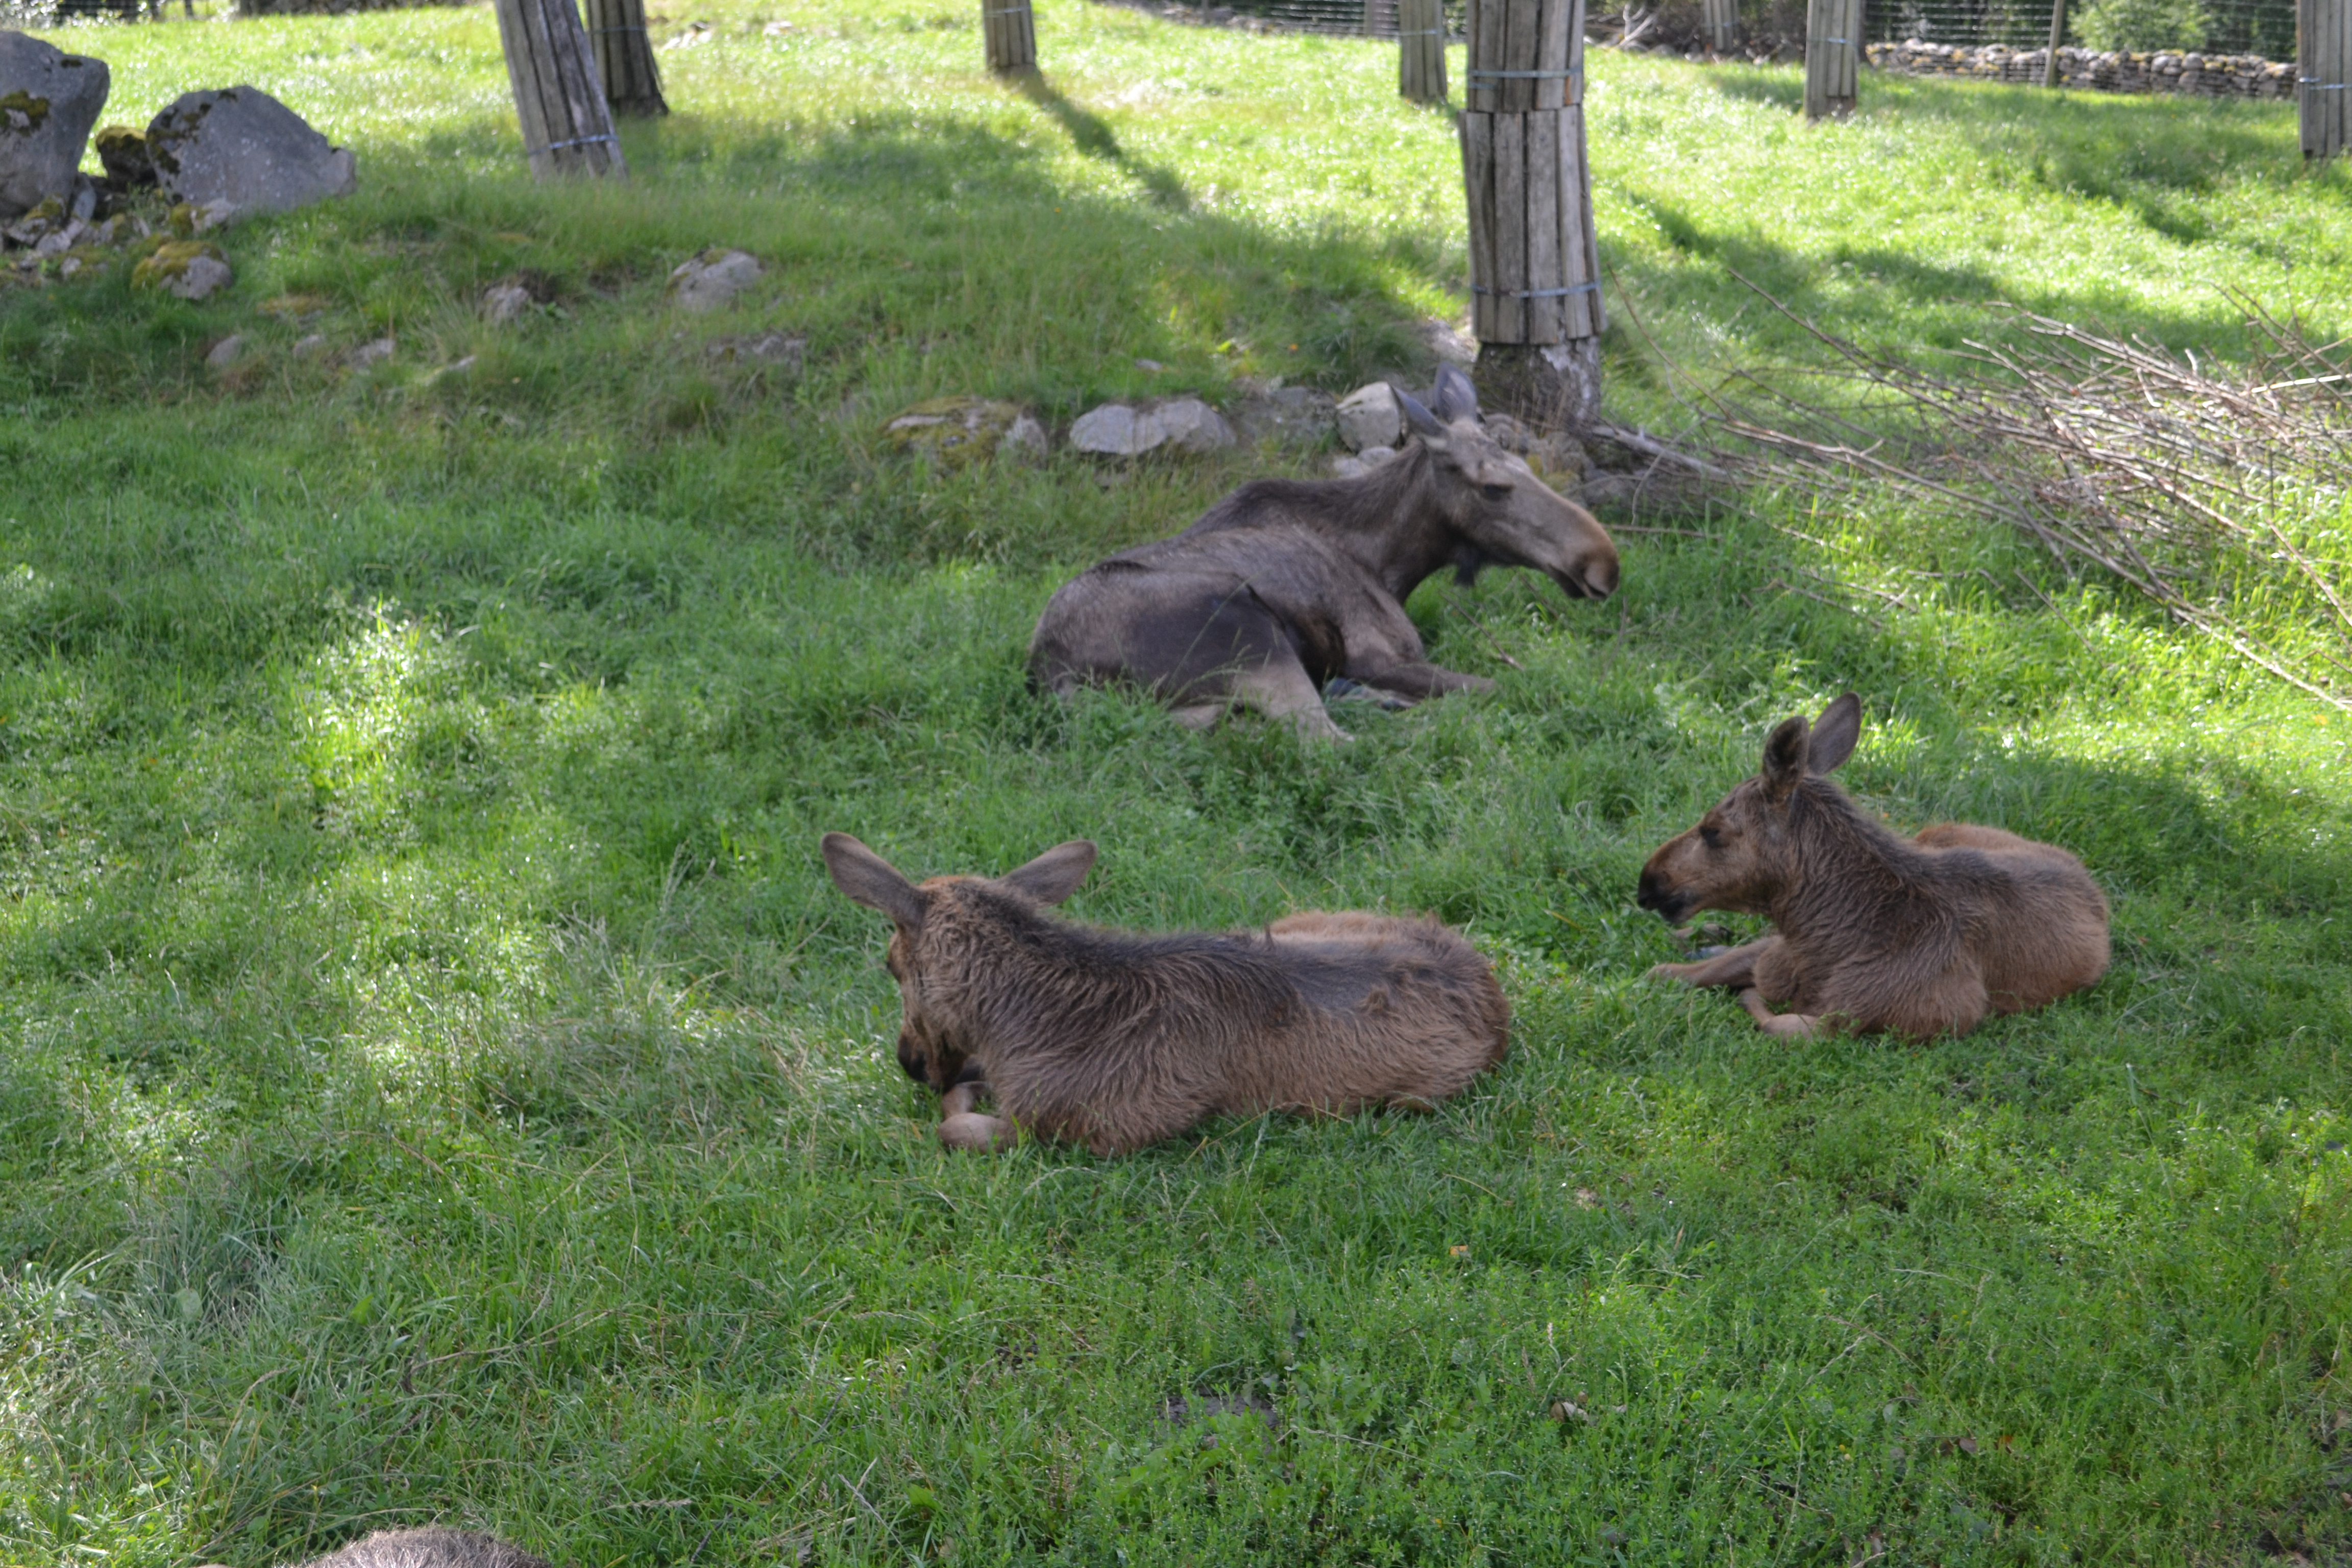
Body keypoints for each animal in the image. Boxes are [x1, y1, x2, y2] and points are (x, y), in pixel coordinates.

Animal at [818, 832, 1505, 1152]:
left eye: (889, 964)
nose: (908, 1061)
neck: (1021, 1027)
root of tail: (1495, 995)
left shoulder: (1083, 1132)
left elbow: (954, 1123)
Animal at [1030, 364, 1618, 747]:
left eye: (1526, 466)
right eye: (1494, 487)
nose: (1603, 563)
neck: (1391, 562)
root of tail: (1053, 675)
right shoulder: (1381, 655)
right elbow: (1508, 684)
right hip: (1249, 632)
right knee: (1336, 742)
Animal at [1637, 696, 2117, 1043]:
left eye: (1713, 830)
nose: (1648, 883)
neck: (1820, 942)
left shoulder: (1881, 1019)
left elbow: (1771, 1016)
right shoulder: (1775, 954)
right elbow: (1664, 974)